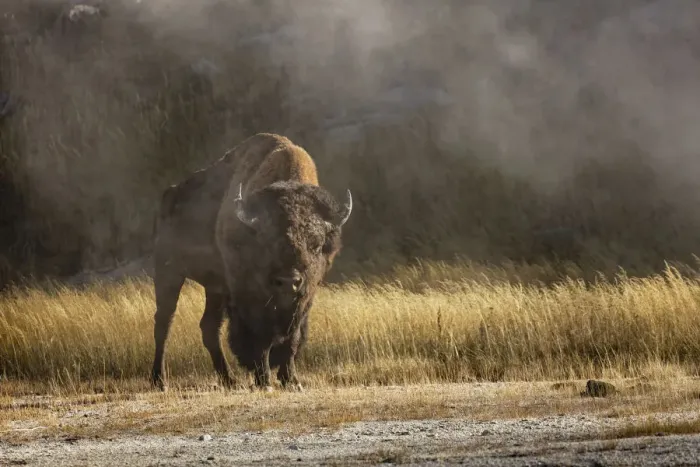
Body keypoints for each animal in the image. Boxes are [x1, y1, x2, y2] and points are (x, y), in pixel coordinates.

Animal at [150, 133, 352, 391]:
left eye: (316, 244)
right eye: (265, 242)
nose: (288, 281)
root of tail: (170, 195)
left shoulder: (305, 297)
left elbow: (292, 339)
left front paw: (291, 380)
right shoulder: (248, 297)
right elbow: (260, 339)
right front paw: (264, 380)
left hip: (214, 288)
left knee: (209, 327)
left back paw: (229, 379)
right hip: (168, 272)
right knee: (163, 323)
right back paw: (160, 381)